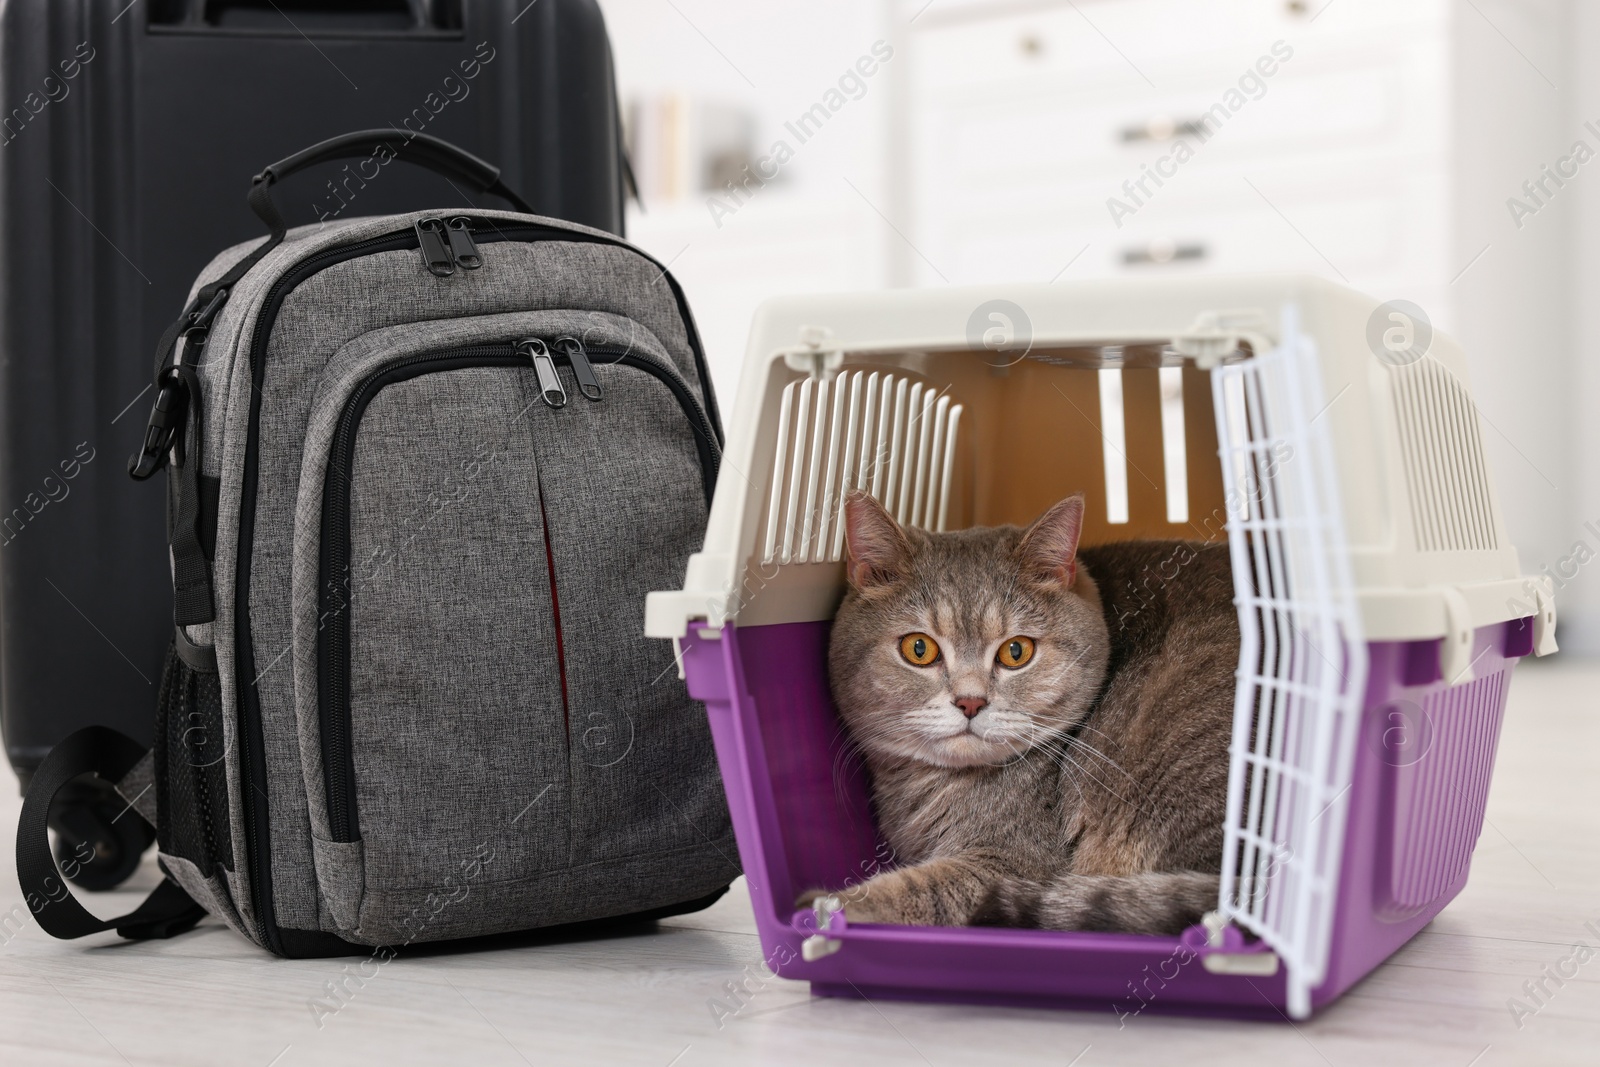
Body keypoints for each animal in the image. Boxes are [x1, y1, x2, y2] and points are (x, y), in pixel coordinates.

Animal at [806, 492, 1241, 934]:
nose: (970, 702)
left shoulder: (1013, 863)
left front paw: (824, 906)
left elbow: (914, 890)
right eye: (919, 649)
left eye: (1016, 651)